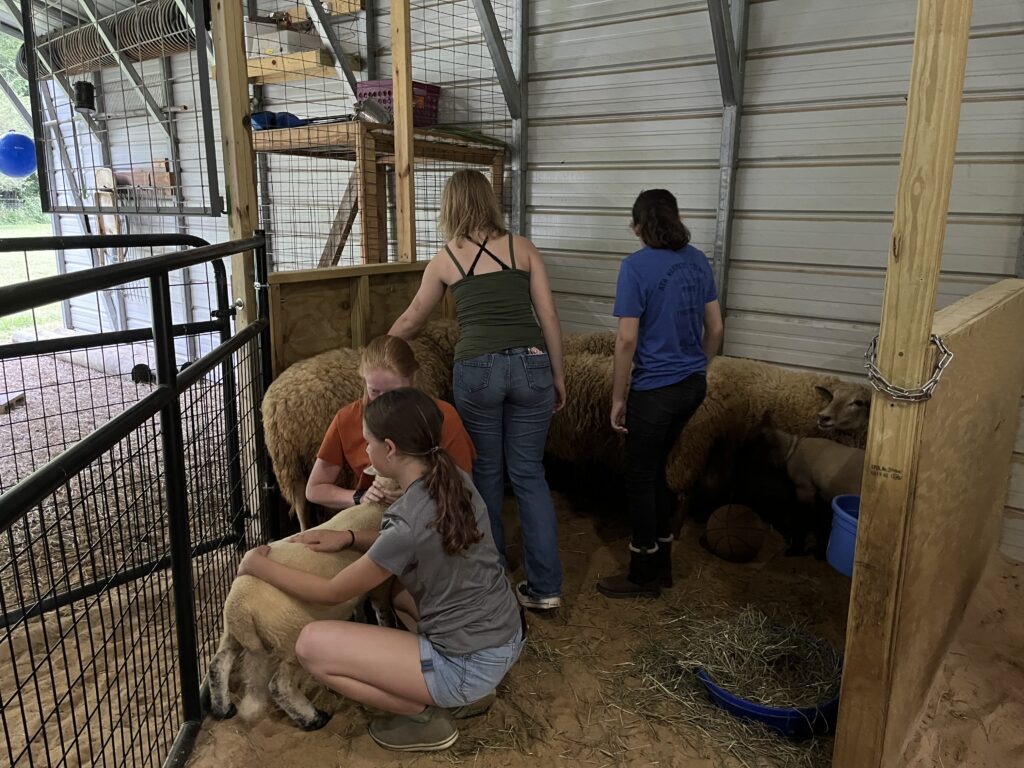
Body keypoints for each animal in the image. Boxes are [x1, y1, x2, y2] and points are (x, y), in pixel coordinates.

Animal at [206, 499, 387, 733]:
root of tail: (240, 607)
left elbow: (360, 608)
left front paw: (361, 620)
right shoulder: (380, 586)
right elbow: (380, 609)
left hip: (233, 632)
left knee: (218, 664)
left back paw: (223, 709)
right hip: (292, 637)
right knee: (280, 686)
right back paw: (314, 719)